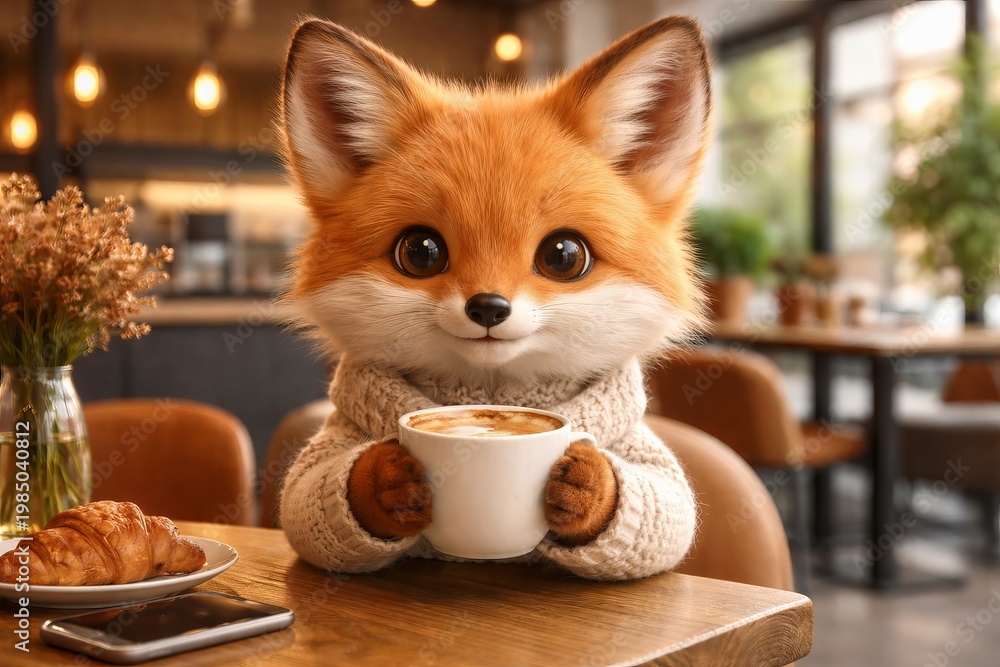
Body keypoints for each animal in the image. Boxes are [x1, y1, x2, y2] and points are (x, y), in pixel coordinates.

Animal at [278, 15, 712, 581]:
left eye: (563, 255)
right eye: (420, 252)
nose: (488, 307)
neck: (488, 394)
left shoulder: (647, 462)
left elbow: (668, 509)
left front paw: (588, 484)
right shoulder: (331, 447)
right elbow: (307, 502)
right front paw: (384, 478)